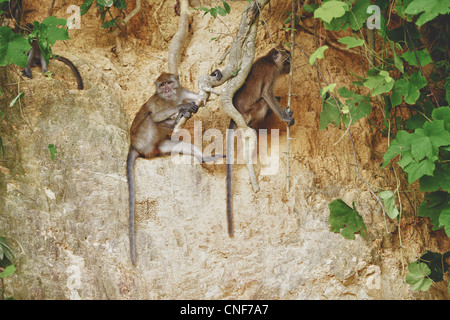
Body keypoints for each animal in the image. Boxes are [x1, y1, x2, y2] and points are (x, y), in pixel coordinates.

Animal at [126, 72, 221, 264]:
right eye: (162, 85)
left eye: (169, 82)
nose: (167, 89)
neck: (172, 98)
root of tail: (135, 146)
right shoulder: (159, 102)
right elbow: (155, 115)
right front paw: (182, 107)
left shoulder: (182, 92)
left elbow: (200, 96)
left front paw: (216, 75)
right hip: (144, 139)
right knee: (151, 119)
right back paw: (176, 119)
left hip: (160, 146)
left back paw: (202, 155)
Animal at [225, 47, 296, 238]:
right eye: (287, 61)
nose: (290, 66)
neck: (268, 60)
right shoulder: (270, 72)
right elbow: (267, 94)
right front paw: (286, 117)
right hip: (251, 112)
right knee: (265, 101)